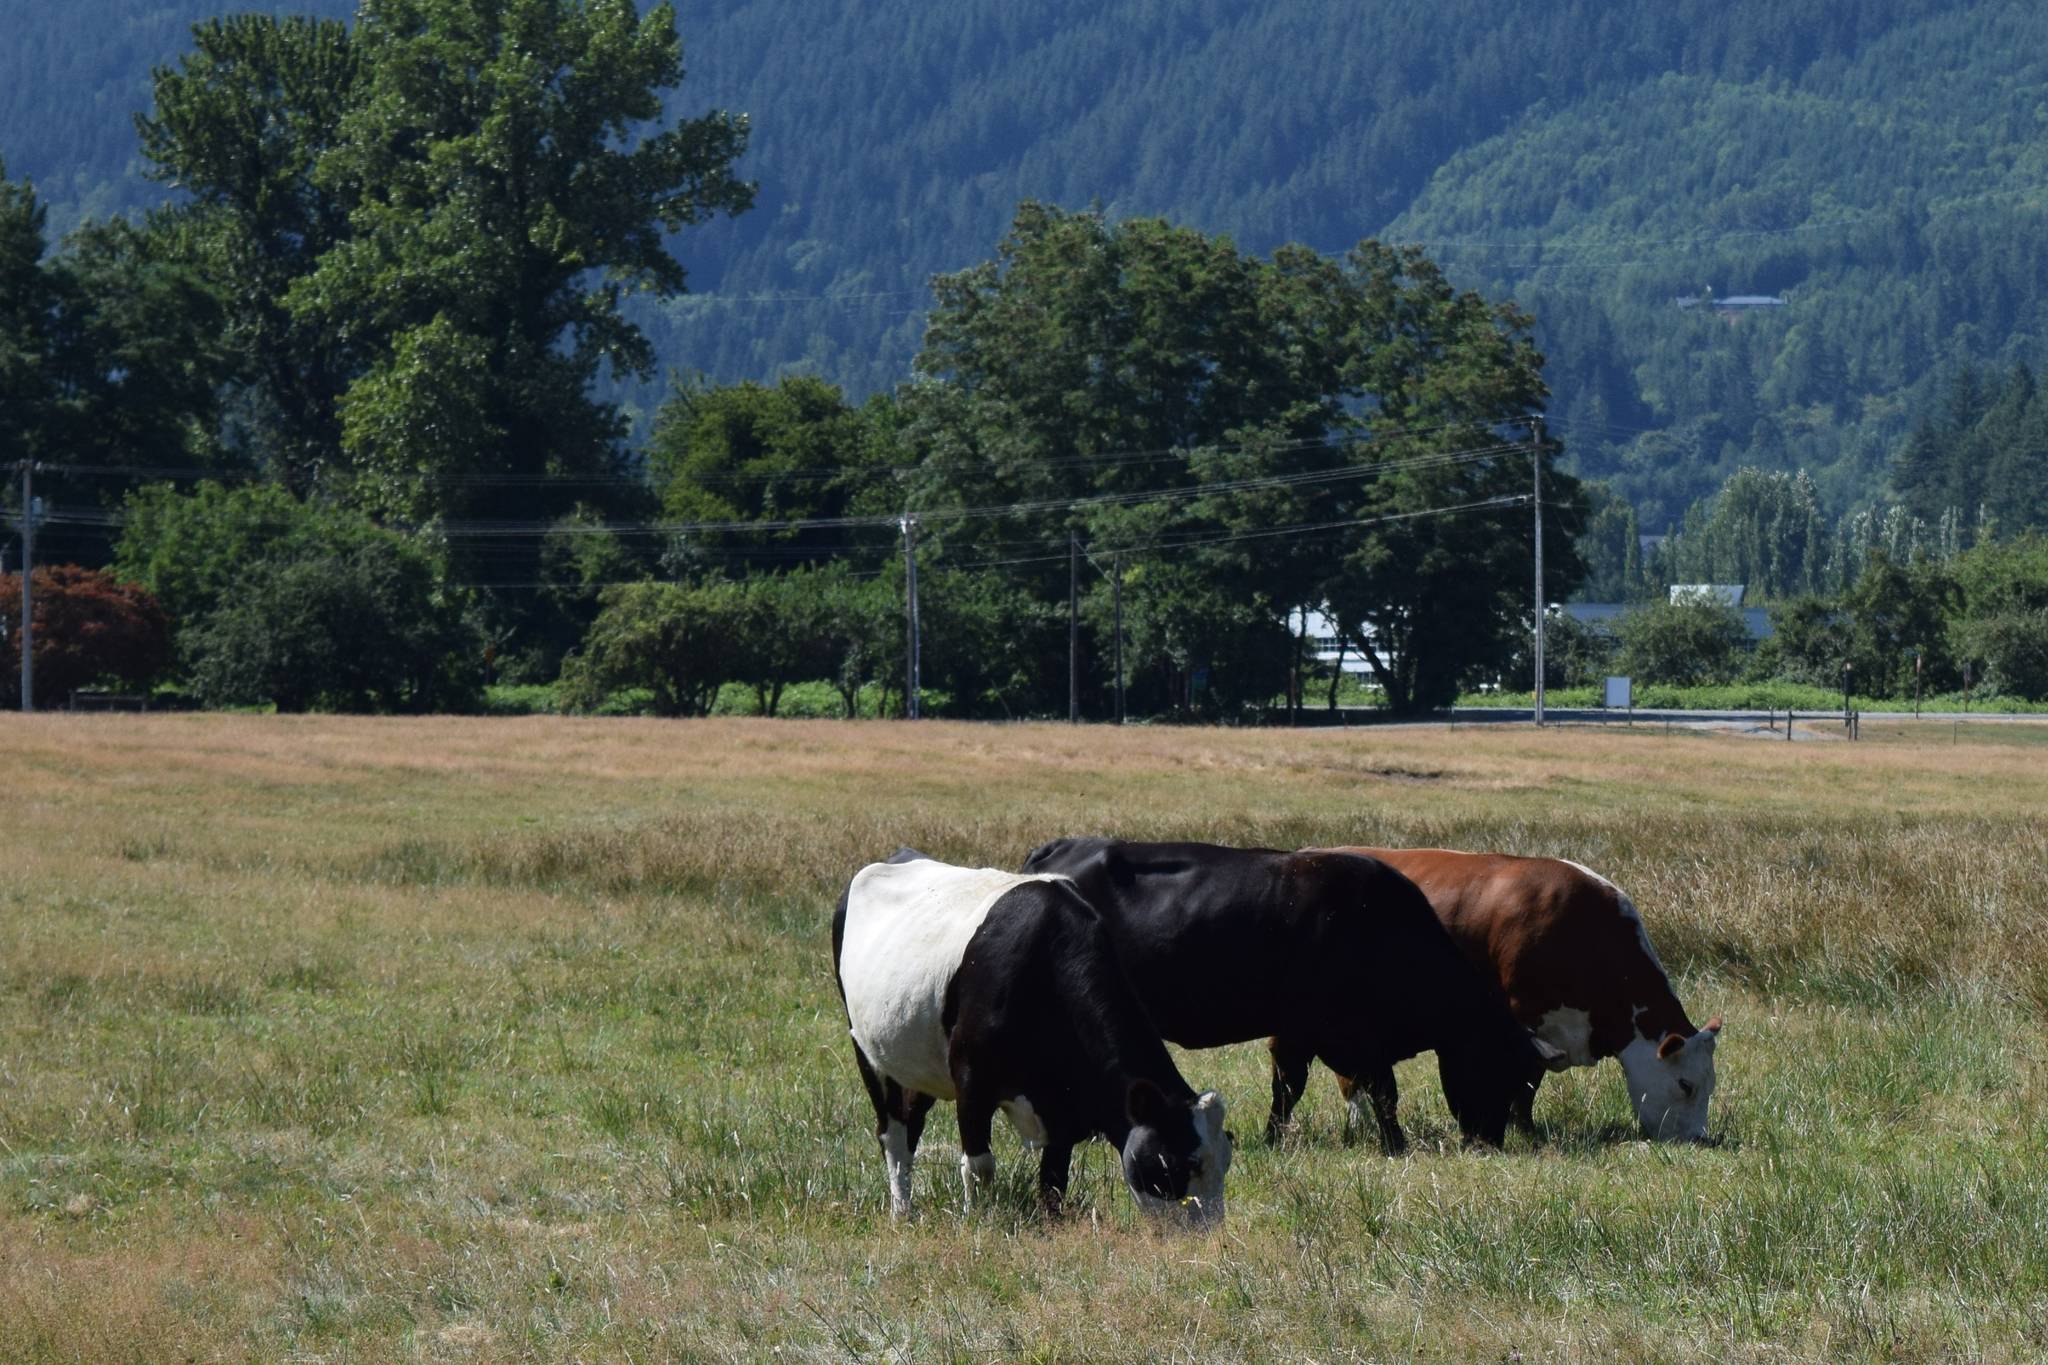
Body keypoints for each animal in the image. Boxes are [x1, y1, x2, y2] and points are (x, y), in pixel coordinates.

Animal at [831, 855, 1228, 1227]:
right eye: (1176, 1164)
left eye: (1225, 1160)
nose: (1207, 1234)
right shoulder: (972, 1076)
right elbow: (979, 1165)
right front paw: (978, 1221)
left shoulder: (1066, 1106)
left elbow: (1054, 1178)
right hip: (869, 1054)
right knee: (894, 1133)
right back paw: (902, 1211)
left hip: (919, 1065)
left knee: (912, 1123)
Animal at [1015, 839, 1556, 1162]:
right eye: (1499, 1068)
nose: (1489, 1142)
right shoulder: (1348, 1036)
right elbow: (1381, 1091)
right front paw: (1396, 1145)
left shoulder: (1303, 1033)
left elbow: (1287, 1090)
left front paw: (1273, 1138)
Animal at [1318, 855, 1720, 1146]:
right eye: (1685, 1085)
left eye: (1711, 1085)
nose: (1699, 1139)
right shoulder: (1525, 1021)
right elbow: (1526, 1084)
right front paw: (1524, 1130)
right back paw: (1358, 1122)